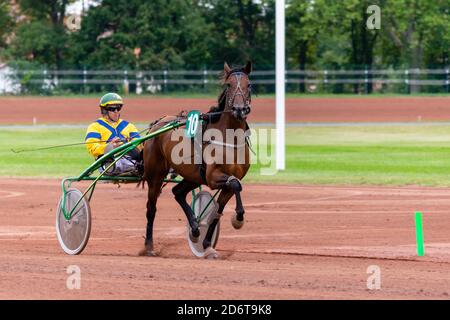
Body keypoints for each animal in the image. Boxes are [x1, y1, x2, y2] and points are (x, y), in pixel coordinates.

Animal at [140, 62, 253, 258]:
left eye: (249, 85)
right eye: (229, 85)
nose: (239, 109)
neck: (230, 139)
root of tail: (158, 123)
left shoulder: (223, 180)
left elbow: (219, 207)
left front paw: (207, 245)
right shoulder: (213, 177)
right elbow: (234, 184)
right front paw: (238, 219)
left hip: (193, 176)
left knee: (178, 192)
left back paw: (194, 229)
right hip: (155, 175)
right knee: (151, 209)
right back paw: (149, 246)